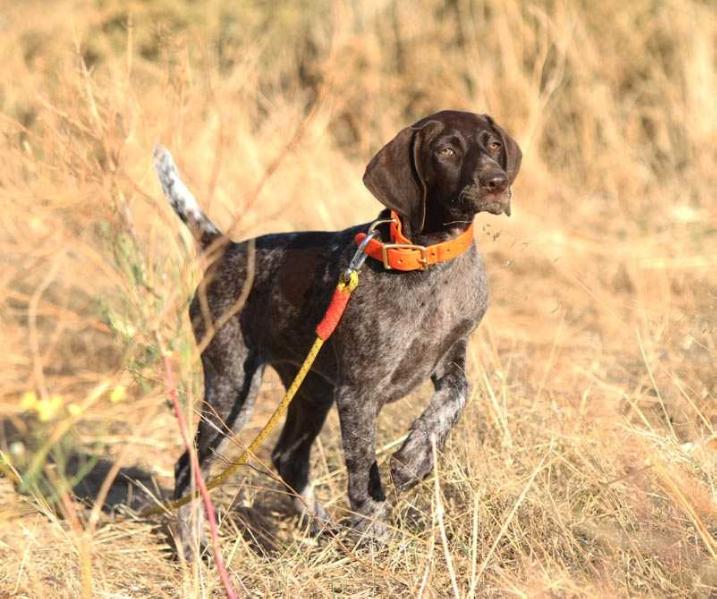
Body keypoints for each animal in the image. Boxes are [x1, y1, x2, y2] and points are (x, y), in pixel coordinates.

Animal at [154, 108, 520, 556]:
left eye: (493, 145)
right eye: (446, 150)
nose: (496, 182)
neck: (428, 258)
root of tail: (226, 247)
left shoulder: (451, 358)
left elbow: (454, 400)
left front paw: (415, 458)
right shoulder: (358, 393)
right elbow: (364, 476)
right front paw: (374, 539)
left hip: (311, 388)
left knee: (288, 458)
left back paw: (323, 528)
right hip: (233, 388)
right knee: (189, 467)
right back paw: (193, 549)